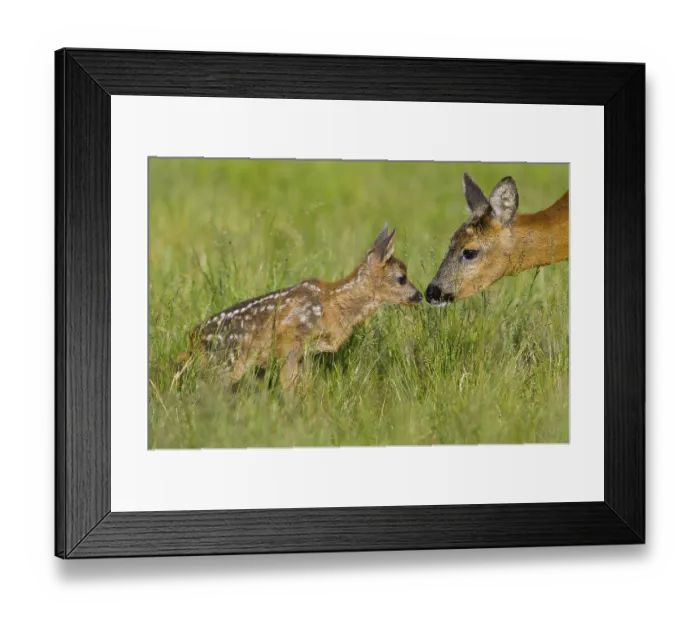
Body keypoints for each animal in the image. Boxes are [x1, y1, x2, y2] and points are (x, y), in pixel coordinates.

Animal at [180, 224, 423, 392]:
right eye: (402, 278)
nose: (420, 295)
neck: (333, 306)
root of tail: (193, 337)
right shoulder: (289, 340)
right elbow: (289, 387)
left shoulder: (305, 353)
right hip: (227, 362)